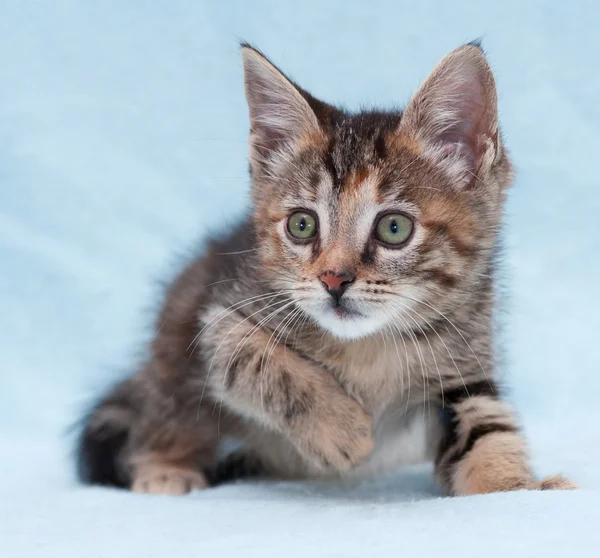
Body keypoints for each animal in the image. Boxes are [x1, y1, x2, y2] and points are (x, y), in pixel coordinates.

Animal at [77, 44, 576, 498]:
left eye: (394, 228)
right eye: (302, 225)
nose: (333, 279)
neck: (368, 347)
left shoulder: (464, 366)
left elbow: (488, 430)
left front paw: (517, 487)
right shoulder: (220, 312)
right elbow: (254, 359)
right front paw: (340, 429)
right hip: (176, 326)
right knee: (166, 405)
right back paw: (166, 466)